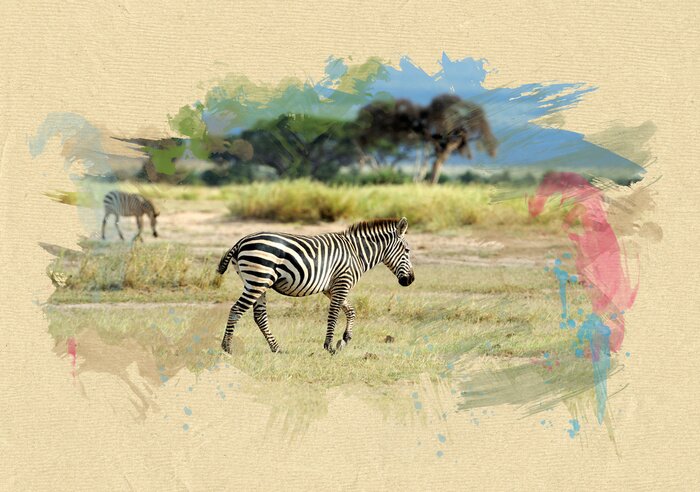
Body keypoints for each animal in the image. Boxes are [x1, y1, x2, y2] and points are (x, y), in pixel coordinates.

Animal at [216, 217, 415, 355]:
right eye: (407, 251)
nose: (411, 280)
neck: (356, 253)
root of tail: (241, 241)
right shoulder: (342, 282)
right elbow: (334, 313)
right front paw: (329, 346)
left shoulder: (331, 288)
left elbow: (350, 311)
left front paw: (344, 340)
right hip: (258, 279)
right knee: (236, 309)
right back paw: (227, 347)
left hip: (258, 282)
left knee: (259, 316)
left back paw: (277, 348)